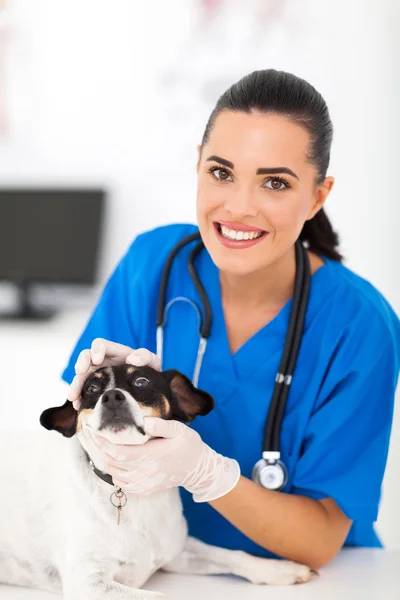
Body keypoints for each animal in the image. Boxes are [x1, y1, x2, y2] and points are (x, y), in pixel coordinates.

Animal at [0, 364, 312, 596]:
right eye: (91, 389)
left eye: (141, 381)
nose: (112, 397)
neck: (130, 492)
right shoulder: (89, 584)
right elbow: (161, 597)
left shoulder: (177, 550)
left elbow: (233, 554)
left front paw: (278, 569)